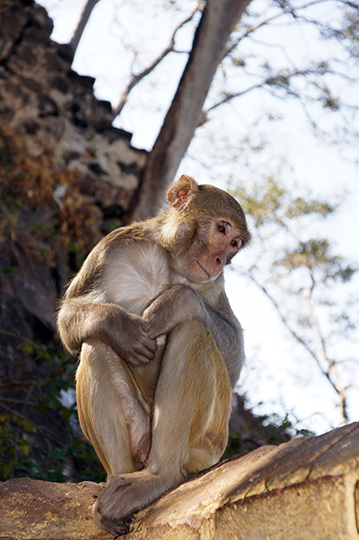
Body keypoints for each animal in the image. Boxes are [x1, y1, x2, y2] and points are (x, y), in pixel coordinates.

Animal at [57, 174, 252, 536]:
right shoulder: (111, 246)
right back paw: (117, 486)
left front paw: (174, 302)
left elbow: (233, 357)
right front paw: (118, 325)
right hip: (140, 436)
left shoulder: (213, 285)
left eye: (235, 243)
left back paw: (159, 477)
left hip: (208, 443)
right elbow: (69, 316)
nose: (221, 260)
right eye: (222, 229)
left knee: (193, 332)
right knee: (96, 345)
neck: (170, 264)